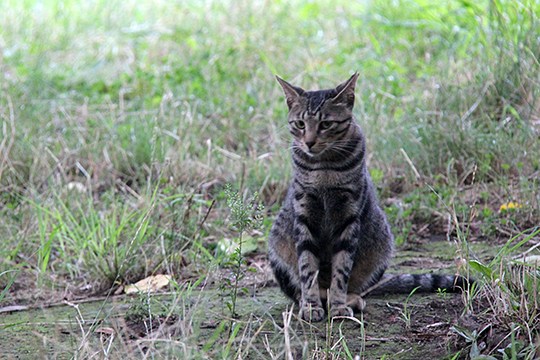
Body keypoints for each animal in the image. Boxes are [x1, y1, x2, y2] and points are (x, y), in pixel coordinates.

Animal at [270, 74, 468, 322]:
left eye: (326, 124)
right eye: (300, 124)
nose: (309, 142)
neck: (324, 168)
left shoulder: (349, 216)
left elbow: (341, 270)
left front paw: (337, 306)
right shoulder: (304, 214)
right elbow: (307, 268)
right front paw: (311, 305)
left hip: (382, 243)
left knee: (359, 286)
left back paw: (350, 299)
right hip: (277, 246)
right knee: (299, 288)